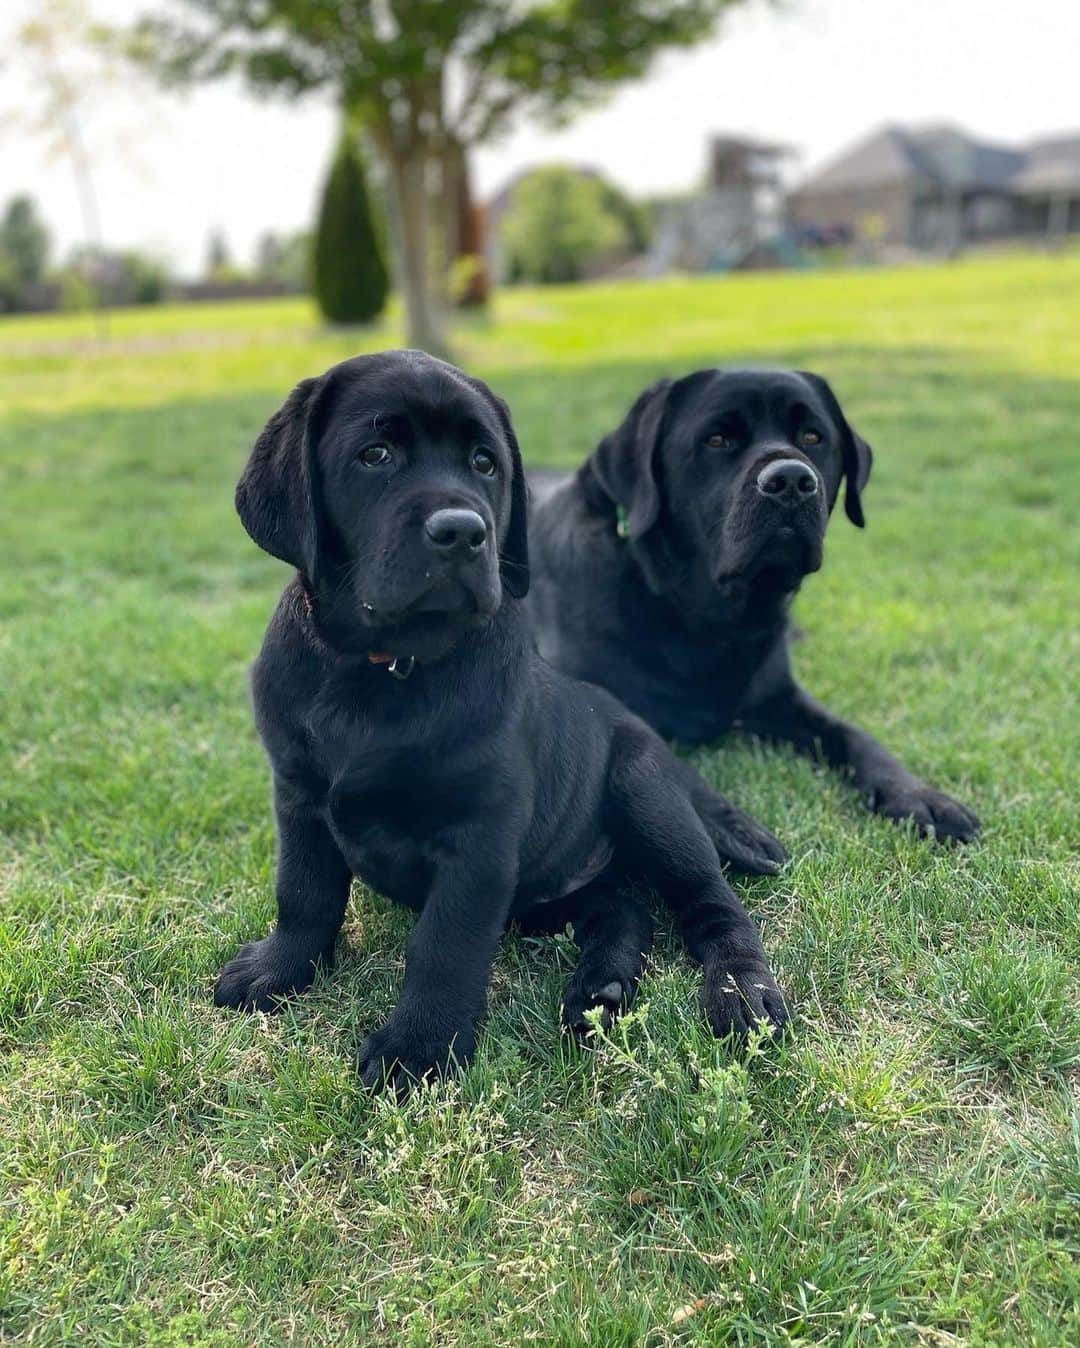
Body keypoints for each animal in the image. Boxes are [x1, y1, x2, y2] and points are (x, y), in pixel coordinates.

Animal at [218, 353, 787, 1089]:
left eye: (485, 463)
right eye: (375, 455)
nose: (464, 531)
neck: (383, 668)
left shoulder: (479, 836)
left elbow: (445, 943)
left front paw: (419, 1047)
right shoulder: (298, 796)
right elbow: (304, 892)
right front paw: (278, 969)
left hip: (646, 793)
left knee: (709, 902)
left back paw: (742, 991)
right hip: (556, 887)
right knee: (622, 909)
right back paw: (601, 991)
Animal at [525, 369, 981, 841]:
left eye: (813, 436)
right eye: (717, 439)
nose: (792, 480)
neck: (704, 618)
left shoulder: (781, 696)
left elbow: (855, 736)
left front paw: (918, 794)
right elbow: (652, 748)